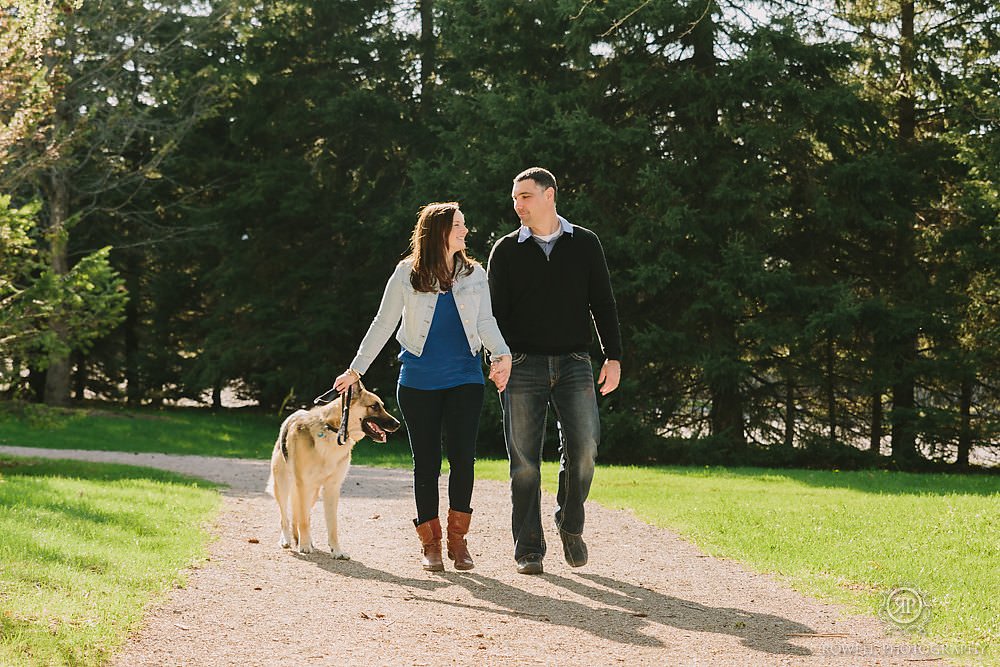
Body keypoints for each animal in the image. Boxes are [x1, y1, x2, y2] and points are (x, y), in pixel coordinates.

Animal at [274, 380, 402, 560]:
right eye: (374, 406)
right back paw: (287, 539)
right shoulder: (303, 485)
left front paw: (336, 550)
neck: (333, 430)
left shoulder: (332, 489)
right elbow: (302, 520)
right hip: (284, 486)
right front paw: (304, 546)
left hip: (312, 493)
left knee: (301, 516)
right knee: (286, 517)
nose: (398, 424)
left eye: (382, 406)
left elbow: (332, 525)